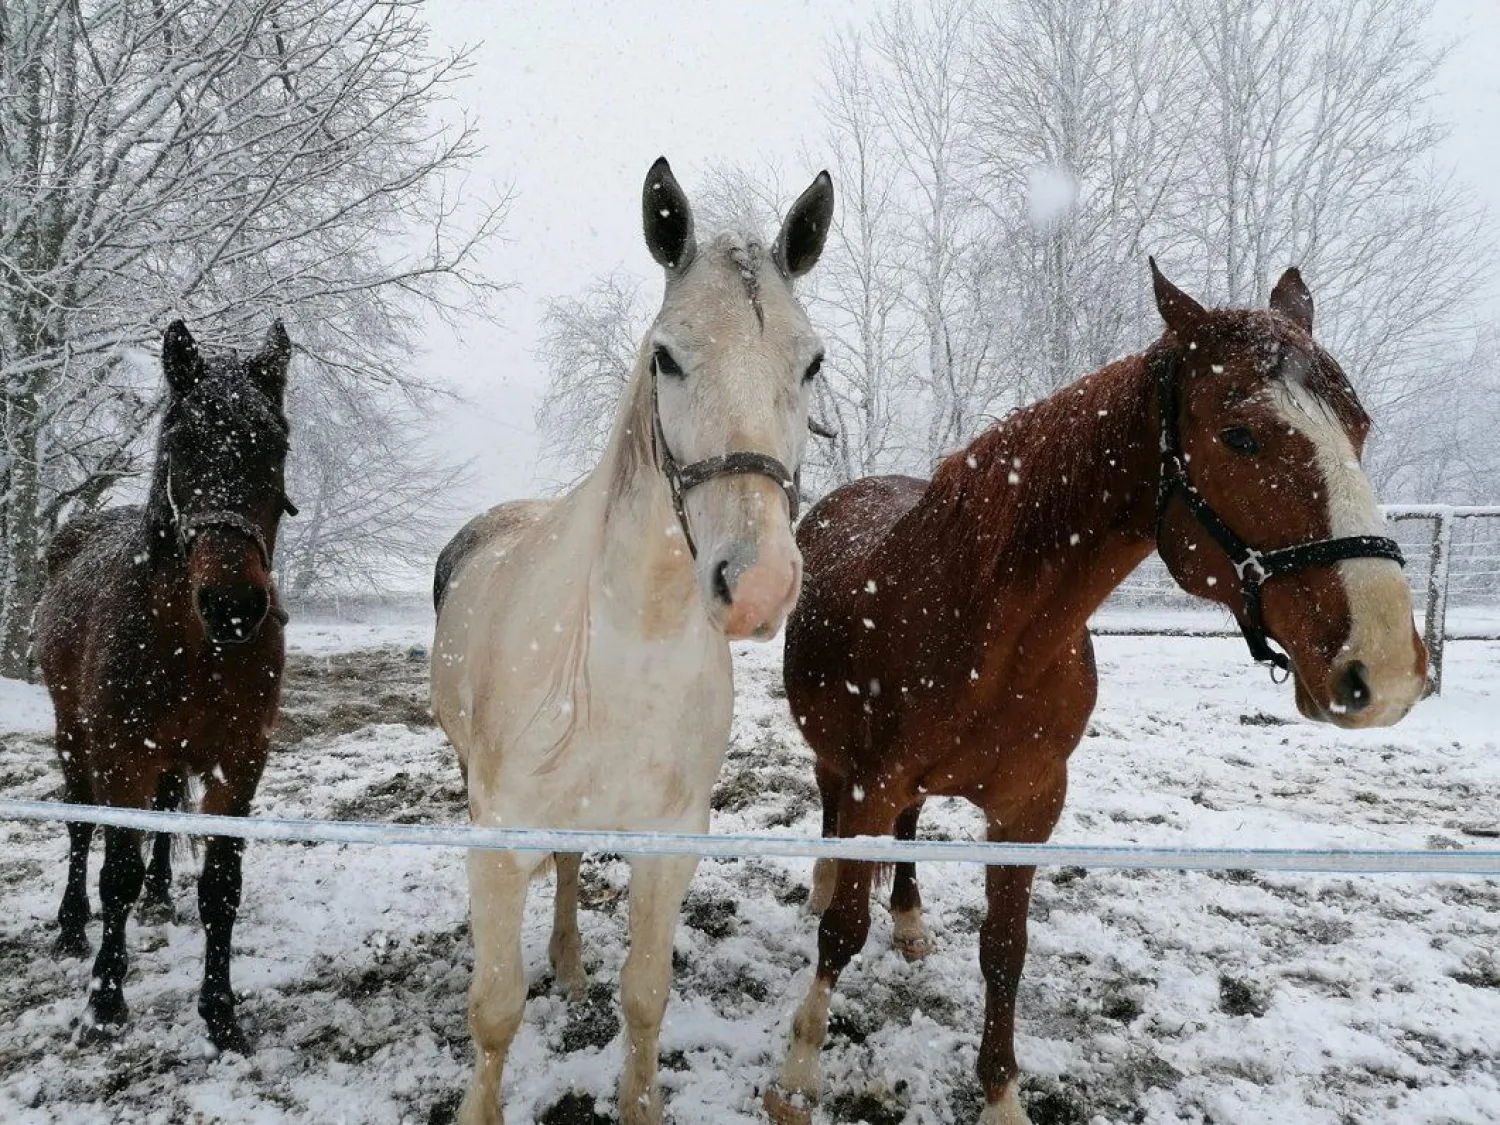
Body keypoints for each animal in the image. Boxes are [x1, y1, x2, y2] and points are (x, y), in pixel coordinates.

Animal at [33, 319, 295, 1056]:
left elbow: (221, 884)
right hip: (74, 737)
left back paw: (158, 896)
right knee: (81, 826)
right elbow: (113, 870)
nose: (233, 605)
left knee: (166, 808)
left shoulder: (240, 759)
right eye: (181, 444)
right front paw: (104, 1003)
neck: (192, 644)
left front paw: (221, 1014)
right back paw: (72, 926)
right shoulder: (123, 754)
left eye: (276, 445)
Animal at [432, 159, 834, 1125]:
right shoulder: (497, 839)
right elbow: (494, 1009)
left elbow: (646, 995)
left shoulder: (672, 840)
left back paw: (571, 963)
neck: (626, 652)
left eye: (812, 361)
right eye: (667, 357)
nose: (757, 582)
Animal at [768, 259, 1422, 1122]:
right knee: (830, 813)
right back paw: (823, 882)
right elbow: (842, 930)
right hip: (838, 761)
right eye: (1240, 434)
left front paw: (1002, 1096)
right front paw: (798, 1070)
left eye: (1361, 425)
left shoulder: (1030, 806)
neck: (990, 635)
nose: (1387, 669)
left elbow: (1004, 949)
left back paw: (907, 921)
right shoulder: (874, 783)